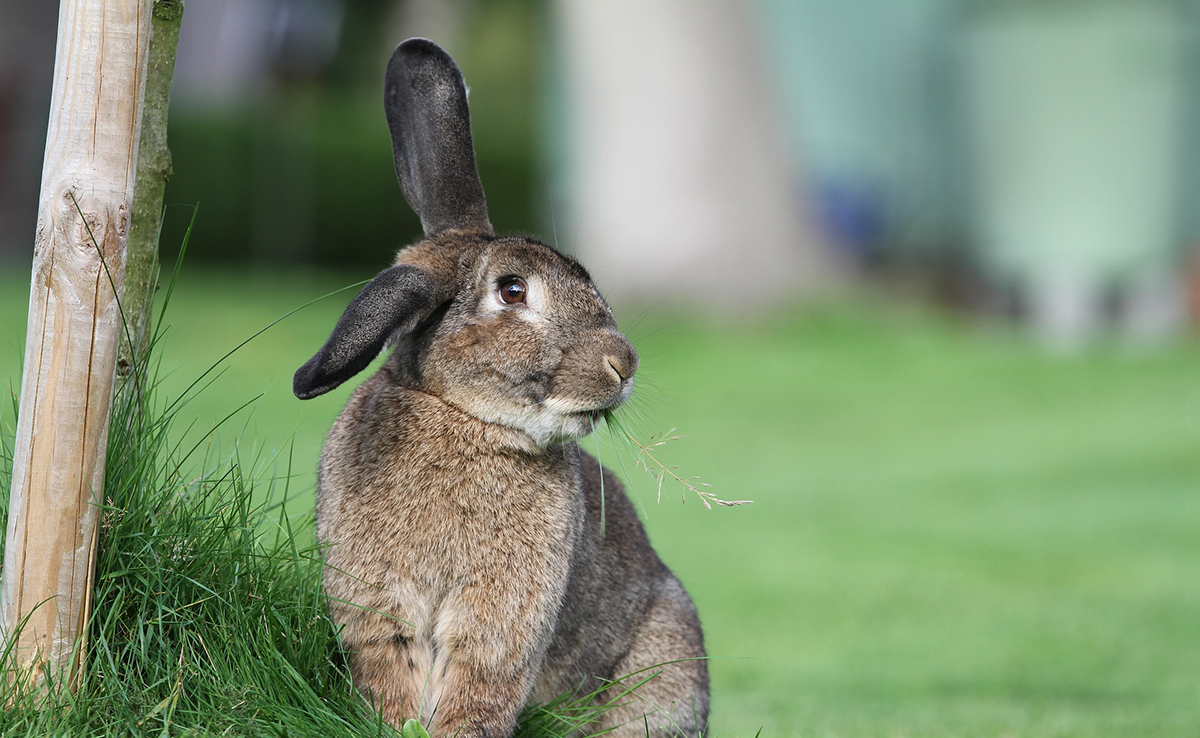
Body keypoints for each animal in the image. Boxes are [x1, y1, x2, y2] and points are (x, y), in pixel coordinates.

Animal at [297, 39, 710, 738]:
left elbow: (478, 691)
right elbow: (395, 678)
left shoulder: (501, 619)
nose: (622, 364)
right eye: (512, 291)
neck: (462, 417)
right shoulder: (379, 607)